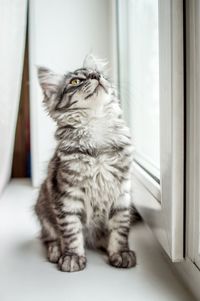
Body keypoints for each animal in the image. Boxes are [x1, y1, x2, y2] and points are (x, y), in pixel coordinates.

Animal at [35, 55, 137, 270]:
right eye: (75, 81)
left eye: (98, 74)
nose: (95, 76)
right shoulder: (67, 195)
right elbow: (71, 231)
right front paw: (73, 256)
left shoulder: (122, 193)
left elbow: (120, 228)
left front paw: (120, 253)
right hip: (42, 207)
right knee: (49, 237)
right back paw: (56, 251)